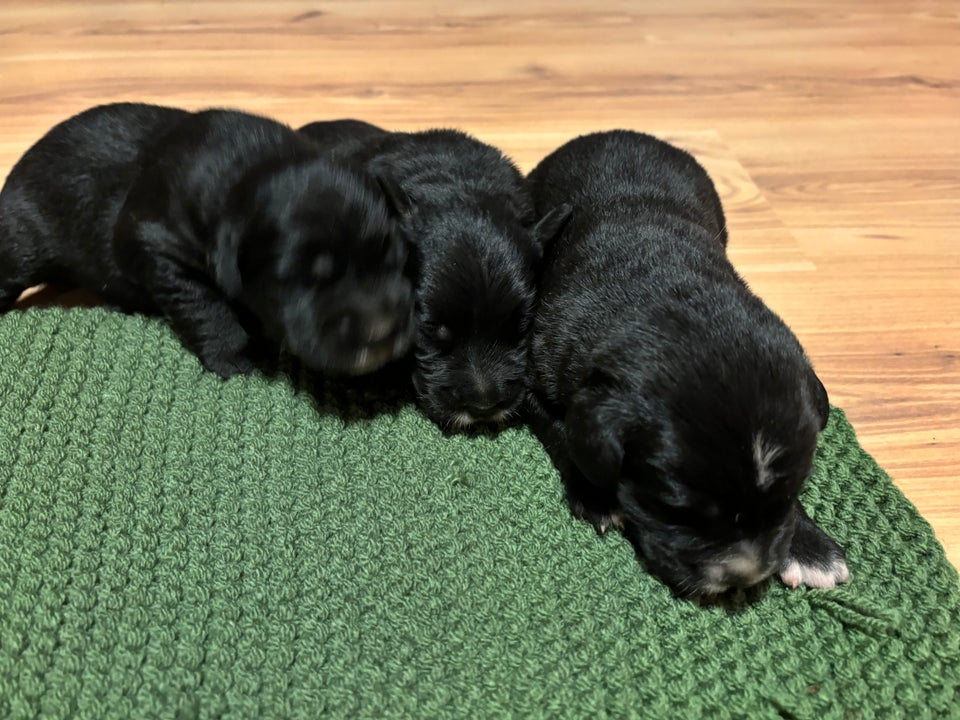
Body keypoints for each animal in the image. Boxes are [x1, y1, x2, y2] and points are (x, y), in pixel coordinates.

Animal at [0, 105, 414, 382]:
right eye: (301, 281)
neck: (252, 169)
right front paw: (230, 354)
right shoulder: (157, 245)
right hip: (25, 237)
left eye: (392, 256)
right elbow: (206, 307)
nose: (381, 332)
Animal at [528, 132, 852, 600]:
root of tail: (615, 132)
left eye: (791, 493)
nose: (746, 576)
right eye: (676, 510)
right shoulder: (535, 371)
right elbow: (562, 429)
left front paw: (811, 549)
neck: (667, 288)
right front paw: (597, 495)